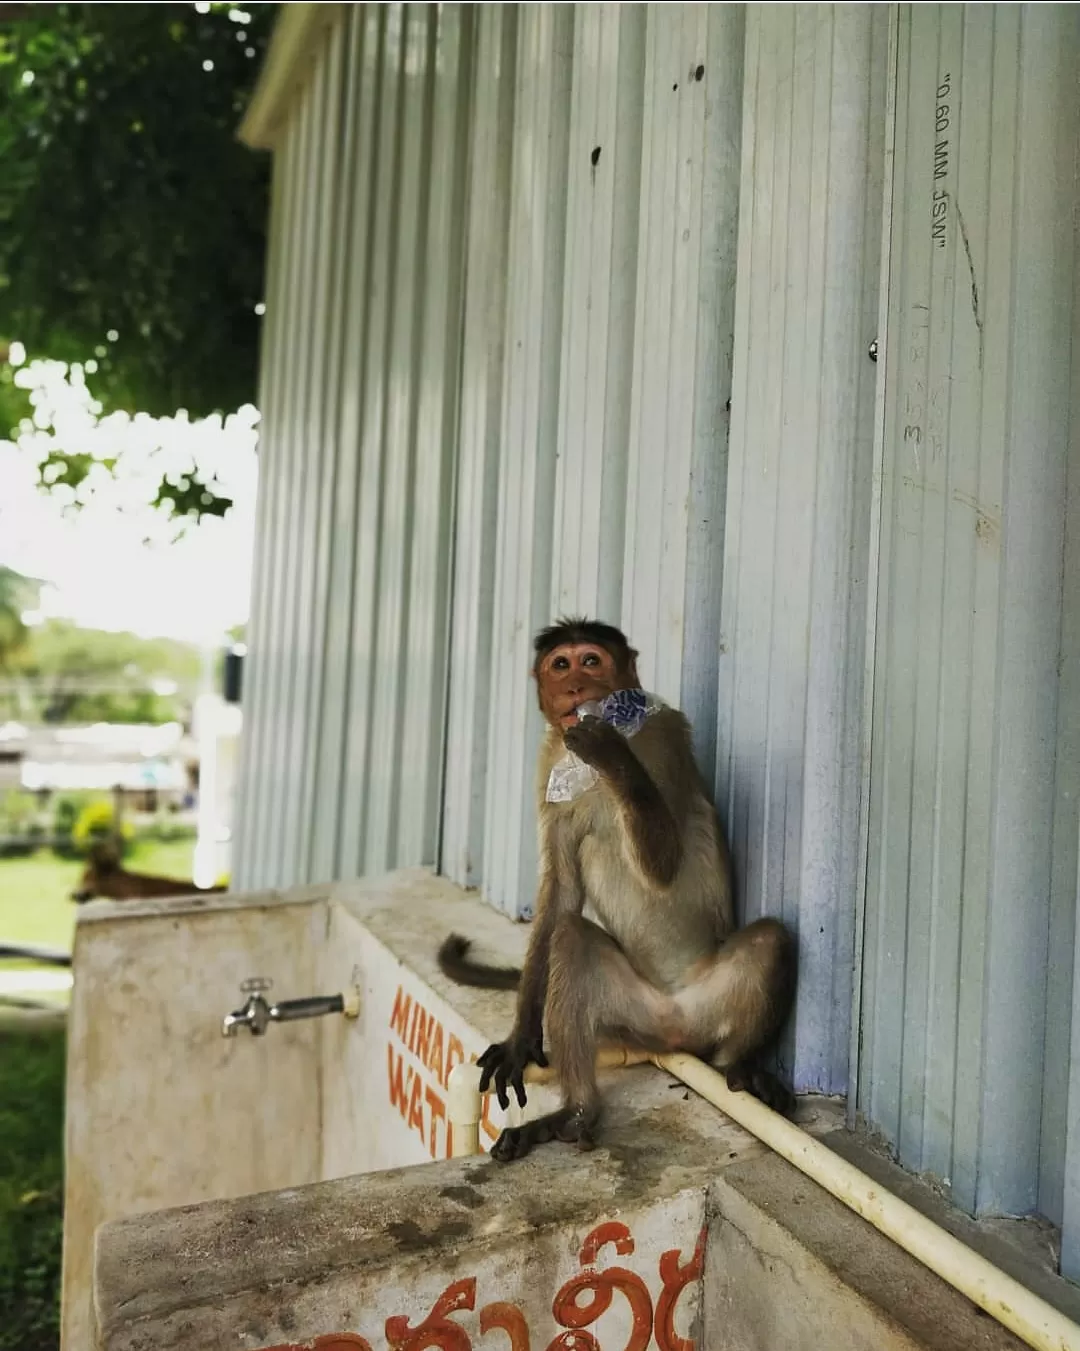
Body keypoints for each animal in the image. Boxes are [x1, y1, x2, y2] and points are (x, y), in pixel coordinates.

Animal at [435, 618, 800, 1156]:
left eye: (591, 661)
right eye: (560, 665)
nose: (575, 689)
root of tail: (674, 1031)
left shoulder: (664, 736)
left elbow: (663, 866)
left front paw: (611, 751)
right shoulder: (548, 765)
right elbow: (562, 891)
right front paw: (521, 1039)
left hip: (710, 1003)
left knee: (771, 940)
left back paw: (738, 1064)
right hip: (634, 1014)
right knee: (570, 936)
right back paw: (576, 1112)